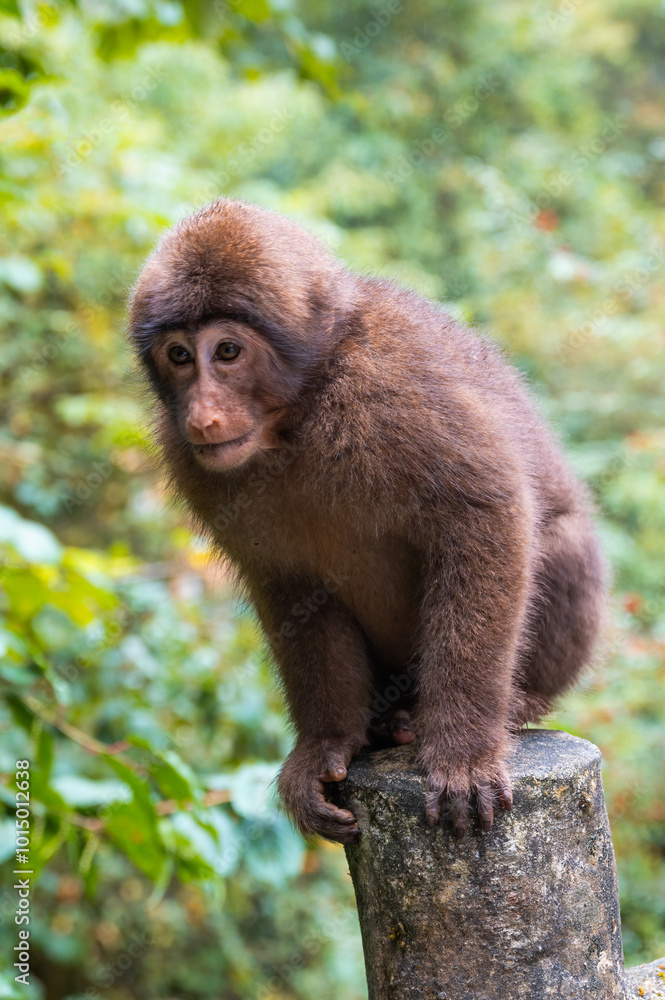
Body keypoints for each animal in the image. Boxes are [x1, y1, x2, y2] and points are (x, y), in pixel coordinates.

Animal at [128, 198, 607, 844]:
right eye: (179, 356)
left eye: (227, 352)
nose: (202, 417)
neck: (298, 416)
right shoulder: (195, 466)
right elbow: (291, 584)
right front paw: (328, 743)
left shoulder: (390, 388)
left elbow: (486, 513)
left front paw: (463, 751)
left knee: (564, 540)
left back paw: (507, 708)